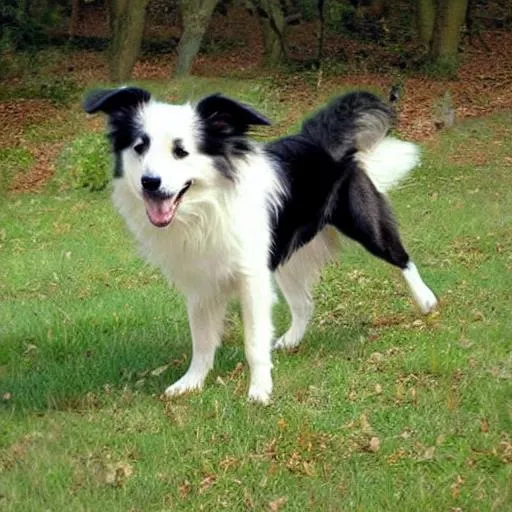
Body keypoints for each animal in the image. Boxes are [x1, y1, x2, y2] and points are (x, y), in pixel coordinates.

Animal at [84, 86, 436, 402]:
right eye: (139, 147)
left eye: (181, 151)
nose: (150, 183)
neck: (206, 207)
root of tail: (318, 139)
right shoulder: (200, 285)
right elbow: (202, 339)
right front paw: (192, 382)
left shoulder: (251, 278)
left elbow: (253, 340)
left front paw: (259, 390)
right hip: (284, 256)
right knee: (304, 303)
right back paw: (292, 340)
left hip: (365, 223)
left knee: (401, 257)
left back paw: (426, 300)